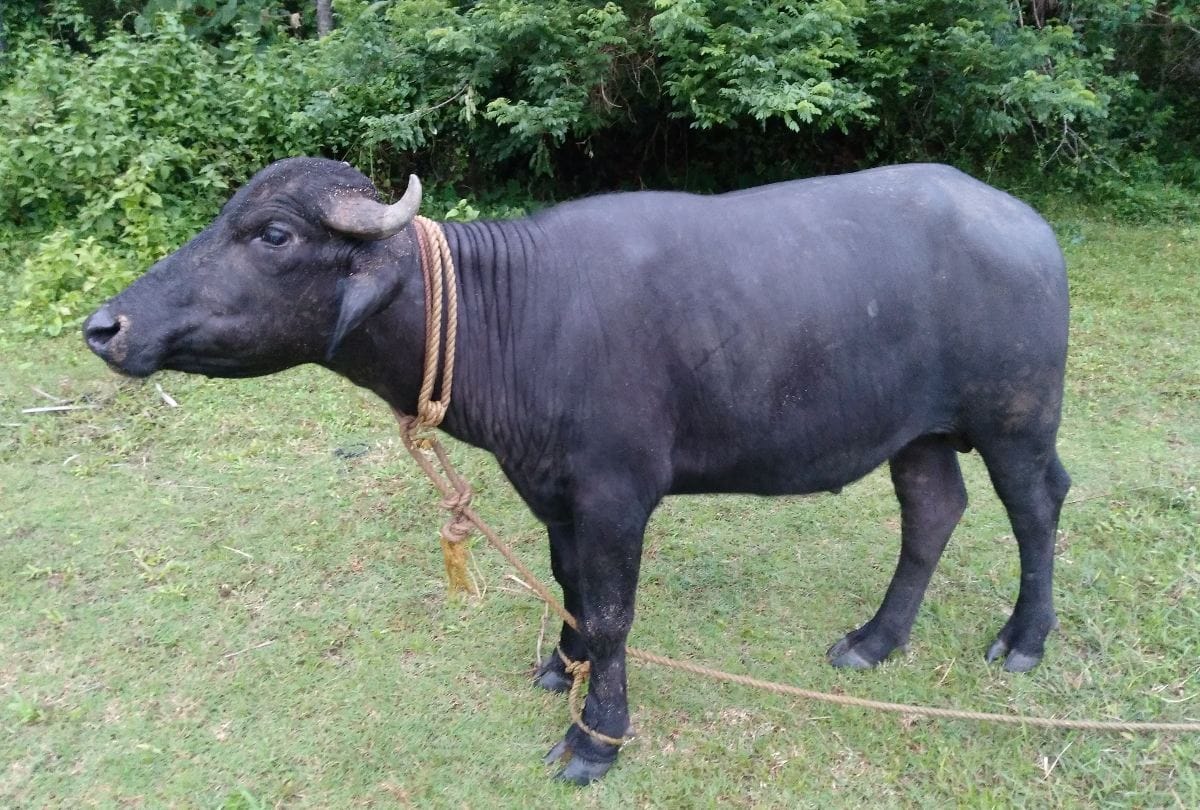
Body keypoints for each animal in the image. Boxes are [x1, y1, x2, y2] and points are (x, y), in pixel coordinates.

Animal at [85, 159, 1070, 783]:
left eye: (275, 234)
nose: (107, 326)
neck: (518, 314)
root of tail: (1026, 224)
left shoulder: (614, 495)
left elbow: (610, 611)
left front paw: (598, 736)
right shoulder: (551, 491)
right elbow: (564, 583)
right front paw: (565, 668)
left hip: (1017, 420)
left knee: (1037, 507)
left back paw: (1023, 640)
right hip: (920, 433)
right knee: (933, 509)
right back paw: (875, 639)